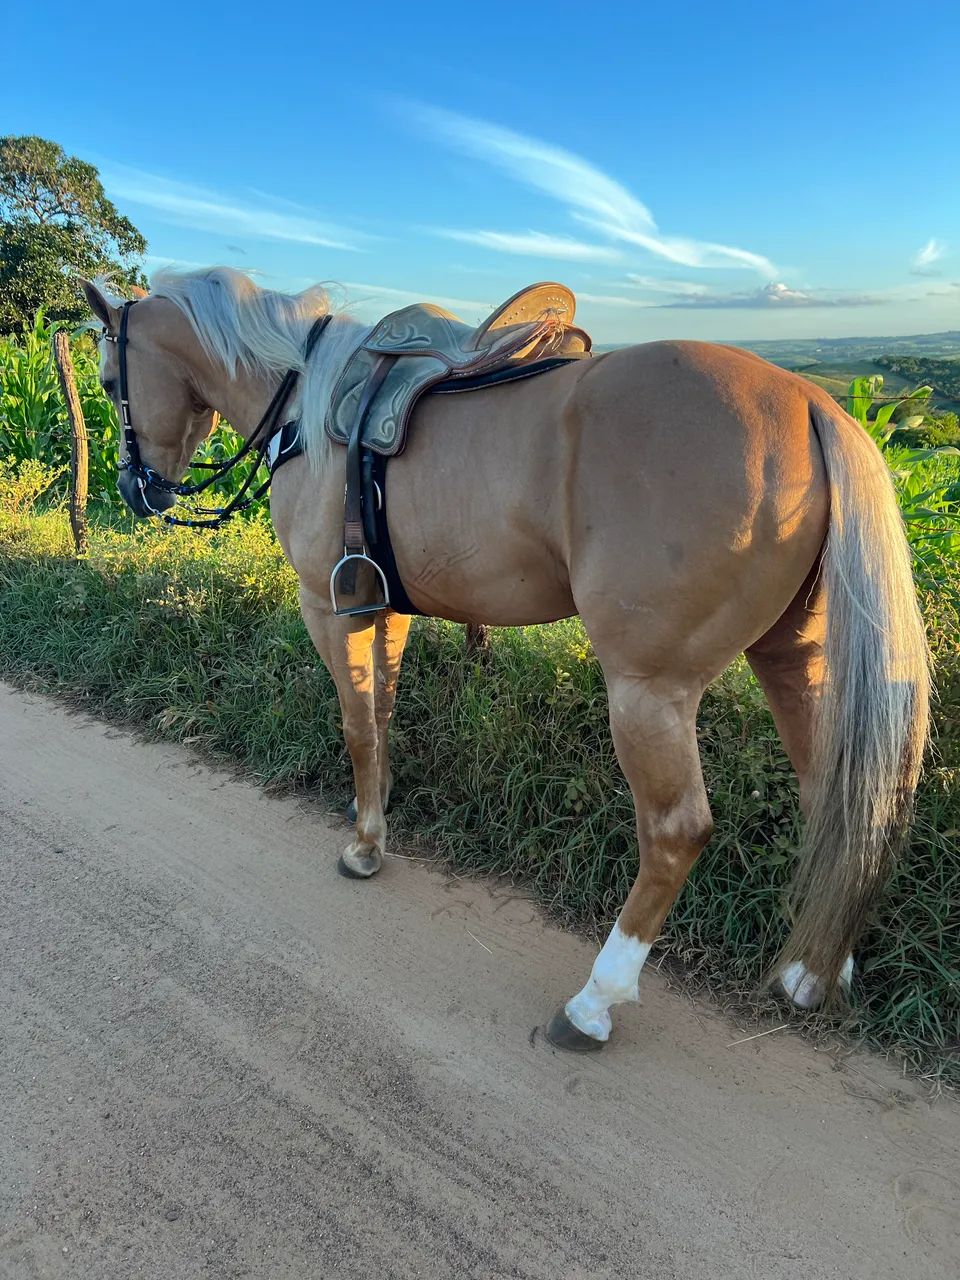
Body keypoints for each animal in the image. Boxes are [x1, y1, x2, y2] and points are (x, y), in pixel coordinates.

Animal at [82, 268, 930, 1053]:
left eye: (110, 382)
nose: (133, 488)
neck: (306, 403)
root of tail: (811, 403)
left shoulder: (329, 607)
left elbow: (356, 725)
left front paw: (363, 846)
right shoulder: (384, 607)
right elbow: (381, 718)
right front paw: (374, 819)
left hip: (649, 691)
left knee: (677, 831)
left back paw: (594, 1001)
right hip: (793, 657)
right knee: (842, 800)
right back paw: (815, 971)